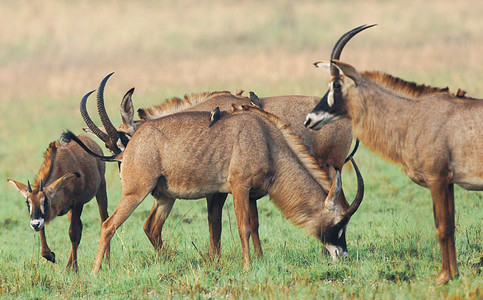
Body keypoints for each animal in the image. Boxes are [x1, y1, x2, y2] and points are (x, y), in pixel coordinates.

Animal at [7, 136, 110, 270]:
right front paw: (51, 256)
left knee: (104, 220)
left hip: (101, 188)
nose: (34, 224)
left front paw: (74, 269)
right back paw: (68, 266)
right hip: (71, 210)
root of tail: (92, 142)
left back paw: (107, 262)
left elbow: (73, 233)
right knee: (82, 226)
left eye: (45, 201)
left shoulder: (78, 203)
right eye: (27, 202)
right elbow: (45, 231)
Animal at [81, 72, 358, 258]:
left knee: (341, 204)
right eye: (109, 147)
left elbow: (217, 225)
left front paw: (219, 260)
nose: (124, 170)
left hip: (331, 168)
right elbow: (247, 224)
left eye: (125, 139)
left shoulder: (221, 191)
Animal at [304, 24, 482, 282]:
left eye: (336, 84)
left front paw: (444, 277)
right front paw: (453, 274)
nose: (309, 119)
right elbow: (448, 224)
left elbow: (442, 227)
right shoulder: (447, 182)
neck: (414, 115)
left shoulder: (437, 179)